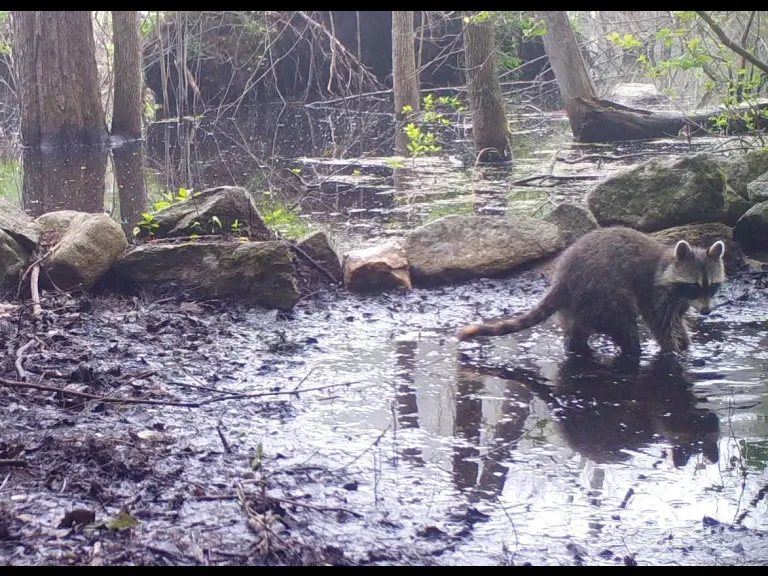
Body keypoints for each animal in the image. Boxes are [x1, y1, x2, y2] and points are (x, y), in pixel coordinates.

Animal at [457, 227, 726, 356]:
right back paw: (631, 350)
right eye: (694, 285)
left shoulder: (679, 301)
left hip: (582, 300)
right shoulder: (653, 290)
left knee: (579, 327)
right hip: (601, 288)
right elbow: (660, 323)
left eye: (712, 285)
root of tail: (562, 278)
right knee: (622, 321)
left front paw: (686, 344)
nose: (706, 312)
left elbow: (677, 321)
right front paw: (674, 351)